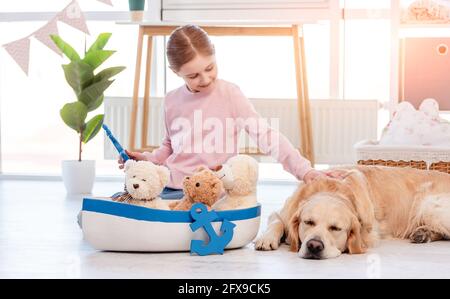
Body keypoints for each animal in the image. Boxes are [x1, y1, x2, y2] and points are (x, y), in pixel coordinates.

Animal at [255, 166, 450, 260]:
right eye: (308, 222)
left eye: (335, 228)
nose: (314, 246)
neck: (332, 189)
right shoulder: (284, 212)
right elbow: (277, 222)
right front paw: (266, 239)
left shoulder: (369, 235)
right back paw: (423, 233)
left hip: (429, 206)